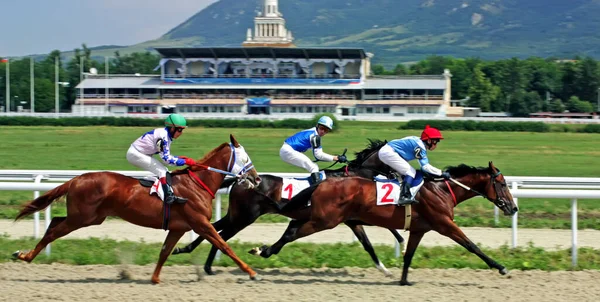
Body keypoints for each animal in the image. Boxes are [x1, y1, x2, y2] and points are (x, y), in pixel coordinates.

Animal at [11, 134, 262, 284]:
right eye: (245, 158)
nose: (257, 178)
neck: (196, 184)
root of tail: (76, 179)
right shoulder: (200, 223)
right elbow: (224, 246)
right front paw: (251, 272)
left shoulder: (179, 227)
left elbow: (165, 251)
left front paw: (155, 279)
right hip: (82, 217)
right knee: (54, 230)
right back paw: (25, 256)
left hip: (90, 217)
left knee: (54, 222)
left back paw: (25, 253)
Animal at [173, 139, 408, 276]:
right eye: (395, 159)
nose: (399, 178)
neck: (350, 178)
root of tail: (242, 180)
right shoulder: (350, 218)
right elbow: (373, 238)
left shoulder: (351, 219)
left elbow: (371, 241)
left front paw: (387, 265)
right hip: (245, 217)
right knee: (222, 234)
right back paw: (206, 265)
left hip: (236, 214)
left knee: (215, 228)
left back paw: (191, 254)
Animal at [251, 162, 516, 284]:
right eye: (502, 183)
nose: (513, 208)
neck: (441, 190)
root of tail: (324, 181)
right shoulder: (444, 224)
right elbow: (472, 245)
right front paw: (501, 267)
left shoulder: (419, 229)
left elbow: (408, 255)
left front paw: (403, 279)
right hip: (325, 220)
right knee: (292, 233)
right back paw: (264, 251)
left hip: (320, 216)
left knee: (292, 227)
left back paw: (263, 250)